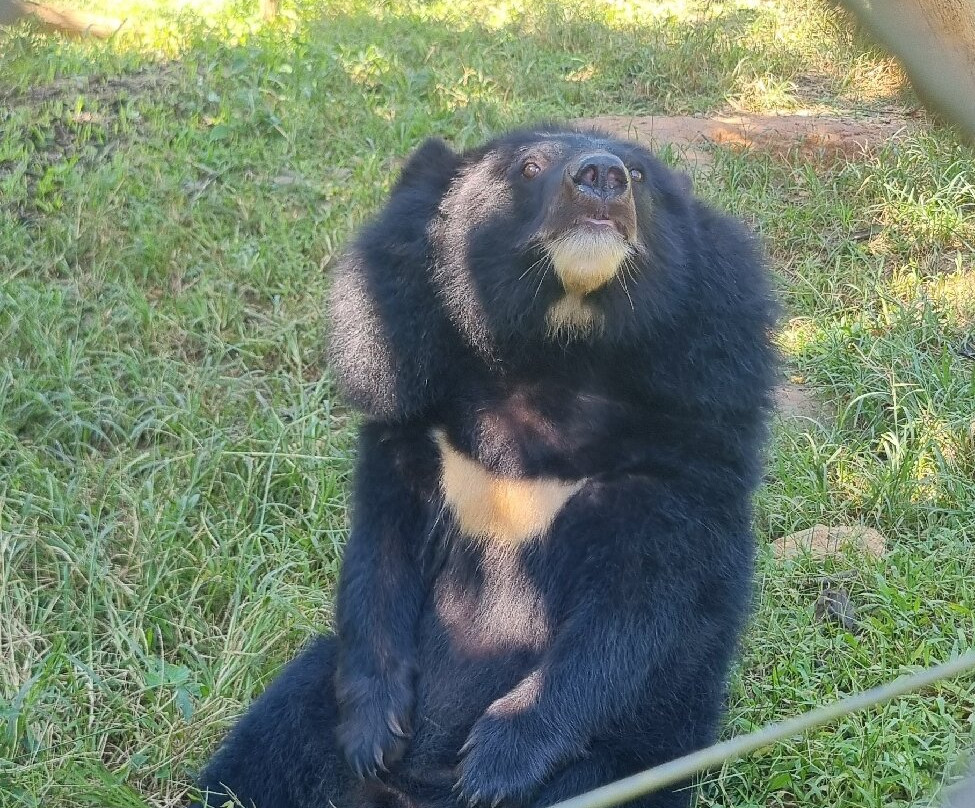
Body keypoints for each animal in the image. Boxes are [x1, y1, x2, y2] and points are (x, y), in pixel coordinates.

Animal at [192, 124, 777, 808]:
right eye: (529, 166)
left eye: (639, 176)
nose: (601, 175)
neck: (555, 354)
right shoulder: (412, 409)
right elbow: (380, 555)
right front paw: (375, 733)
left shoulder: (691, 431)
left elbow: (634, 610)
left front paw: (494, 763)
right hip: (312, 693)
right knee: (264, 752)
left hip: (631, 760)